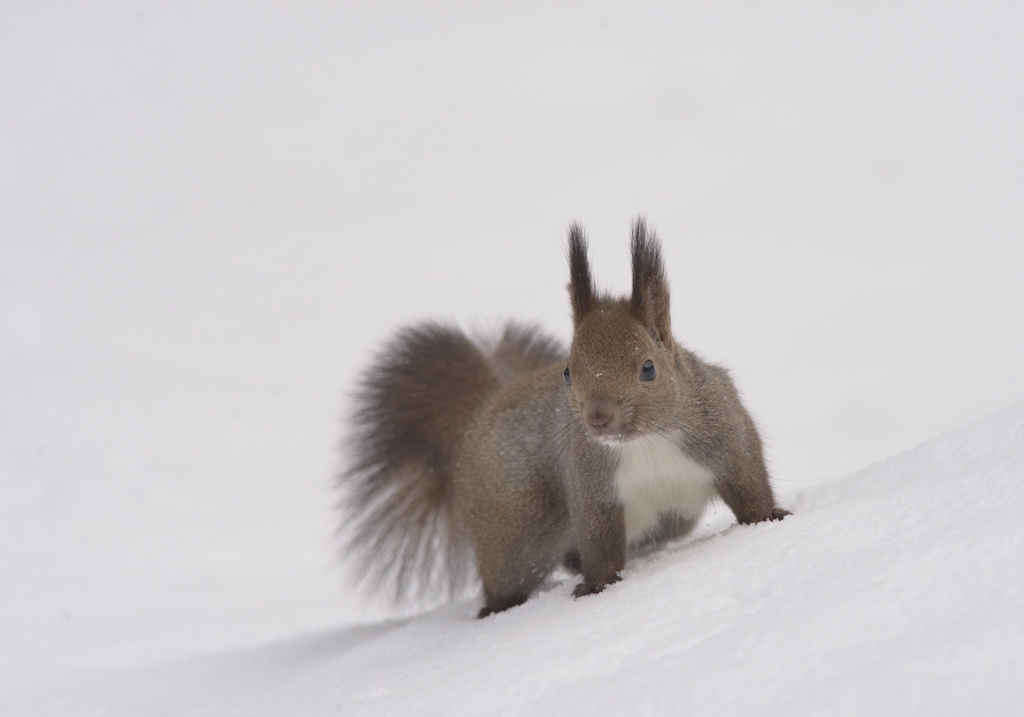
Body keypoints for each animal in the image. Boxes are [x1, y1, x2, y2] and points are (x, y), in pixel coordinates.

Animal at [339, 218, 786, 614]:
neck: (646, 440)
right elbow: (600, 540)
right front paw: (598, 586)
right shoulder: (589, 481)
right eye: (568, 371)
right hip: (516, 530)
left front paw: (771, 519)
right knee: (509, 575)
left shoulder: (724, 432)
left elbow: (749, 484)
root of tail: (479, 417)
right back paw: (498, 608)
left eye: (648, 368)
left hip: (671, 518)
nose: (598, 418)